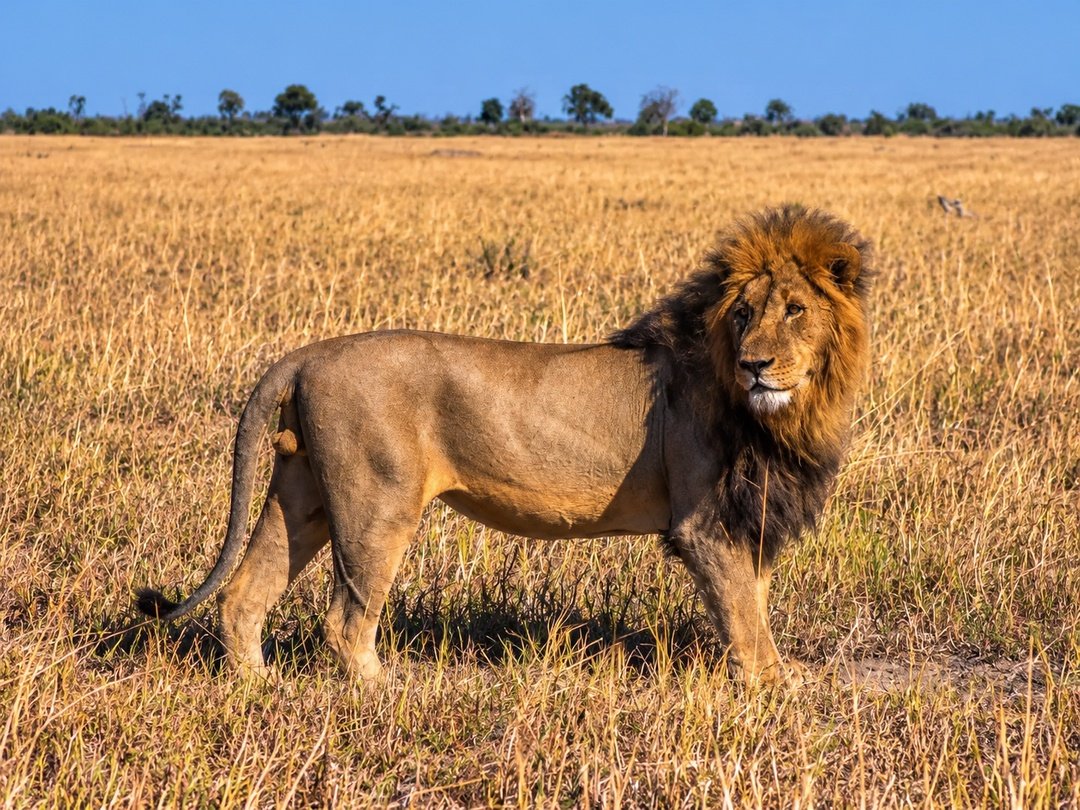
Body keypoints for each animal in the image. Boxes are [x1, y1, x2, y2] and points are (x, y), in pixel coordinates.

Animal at [137, 205, 872, 685]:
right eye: (743, 314)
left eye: (795, 311)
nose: (756, 365)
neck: (786, 414)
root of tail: (305, 355)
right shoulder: (704, 524)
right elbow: (745, 617)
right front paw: (777, 693)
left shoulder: (753, 518)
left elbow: (752, 604)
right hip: (377, 505)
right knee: (345, 621)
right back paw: (387, 695)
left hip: (305, 492)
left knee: (243, 593)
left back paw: (256, 689)